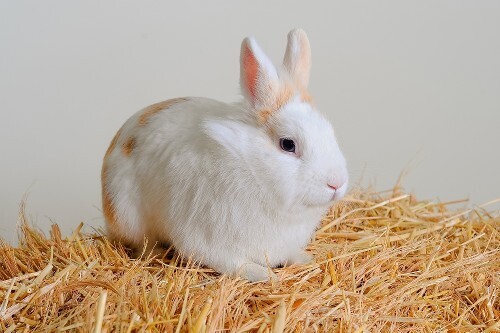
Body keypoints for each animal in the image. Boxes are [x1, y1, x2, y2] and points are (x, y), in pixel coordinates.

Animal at [101, 29, 348, 282]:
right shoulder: (210, 241)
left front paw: (305, 259)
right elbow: (237, 265)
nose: (336, 183)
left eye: (330, 132)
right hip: (129, 216)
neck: (253, 170)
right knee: (143, 244)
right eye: (288, 144)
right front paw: (267, 275)